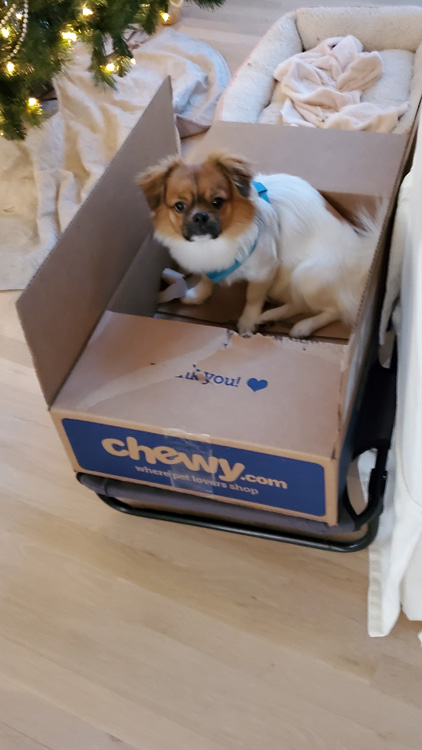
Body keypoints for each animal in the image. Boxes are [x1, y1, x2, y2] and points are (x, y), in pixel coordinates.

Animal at [137, 152, 380, 337]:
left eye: (218, 202)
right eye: (179, 206)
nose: (200, 216)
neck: (217, 242)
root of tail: (361, 267)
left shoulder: (265, 270)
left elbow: (252, 297)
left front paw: (247, 323)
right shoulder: (209, 263)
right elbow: (206, 279)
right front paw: (197, 295)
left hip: (306, 275)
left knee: (335, 310)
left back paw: (302, 326)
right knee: (300, 304)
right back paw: (271, 315)